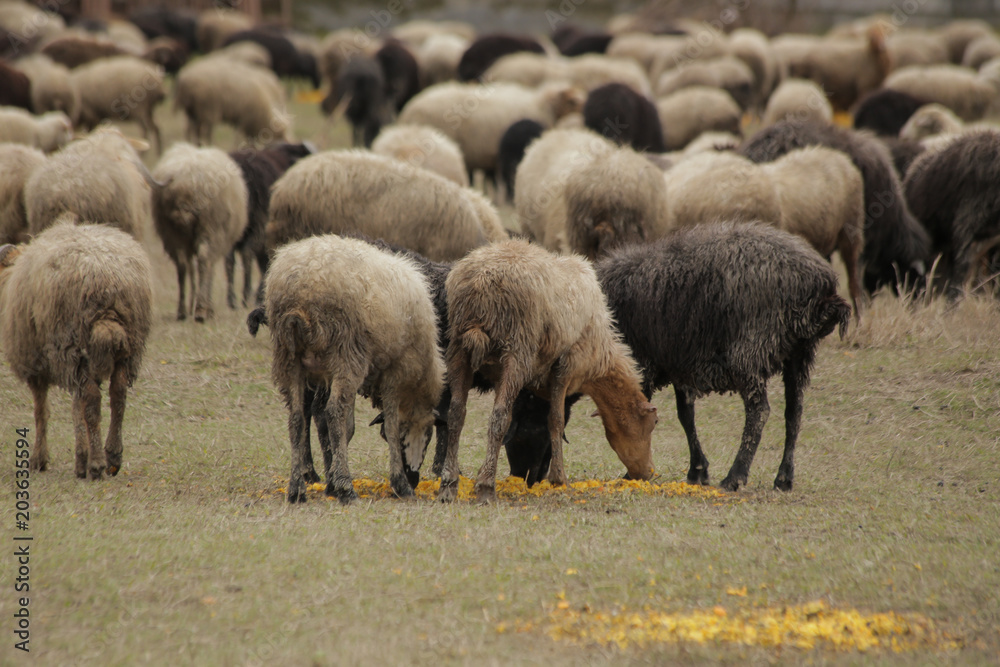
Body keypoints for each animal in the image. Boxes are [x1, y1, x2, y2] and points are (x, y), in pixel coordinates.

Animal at [0, 221, 152, 478]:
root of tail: (106, 282)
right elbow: (75, 408)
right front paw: (81, 458)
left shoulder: (36, 364)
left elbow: (42, 411)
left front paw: (39, 459)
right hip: (126, 348)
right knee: (118, 395)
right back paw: (113, 456)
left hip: (71, 342)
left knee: (92, 401)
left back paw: (98, 463)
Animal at [150, 143, 248, 322]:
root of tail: (187, 181)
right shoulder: (218, 240)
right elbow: (209, 269)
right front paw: (206, 307)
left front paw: (192, 305)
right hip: (211, 227)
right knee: (203, 260)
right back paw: (201, 310)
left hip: (172, 231)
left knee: (182, 264)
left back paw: (183, 311)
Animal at [262, 234, 445, 503]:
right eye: (428, 434)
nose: (413, 477)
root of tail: (301, 290)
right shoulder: (395, 371)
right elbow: (389, 426)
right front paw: (399, 484)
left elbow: (346, 429)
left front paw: (331, 482)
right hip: (346, 352)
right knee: (333, 412)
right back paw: (347, 490)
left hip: (289, 357)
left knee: (296, 418)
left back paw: (297, 489)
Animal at [438, 239, 658, 502]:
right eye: (654, 422)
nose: (648, 473)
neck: (599, 359)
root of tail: (480, 282)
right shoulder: (565, 366)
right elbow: (555, 420)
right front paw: (559, 479)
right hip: (516, 350)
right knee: (498, 416)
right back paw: (486, 487)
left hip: (459, 348)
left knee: (456, 414)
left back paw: (448, 484)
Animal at [593, 222, 850, 491]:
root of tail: (820, 285)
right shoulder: (679, 363)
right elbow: (685, 415)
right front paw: (697, 470)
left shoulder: (644, 365)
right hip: (799, 355)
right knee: (794, 413)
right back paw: (783, 478)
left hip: (749, 353)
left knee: (759, 412)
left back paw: (735, 476)